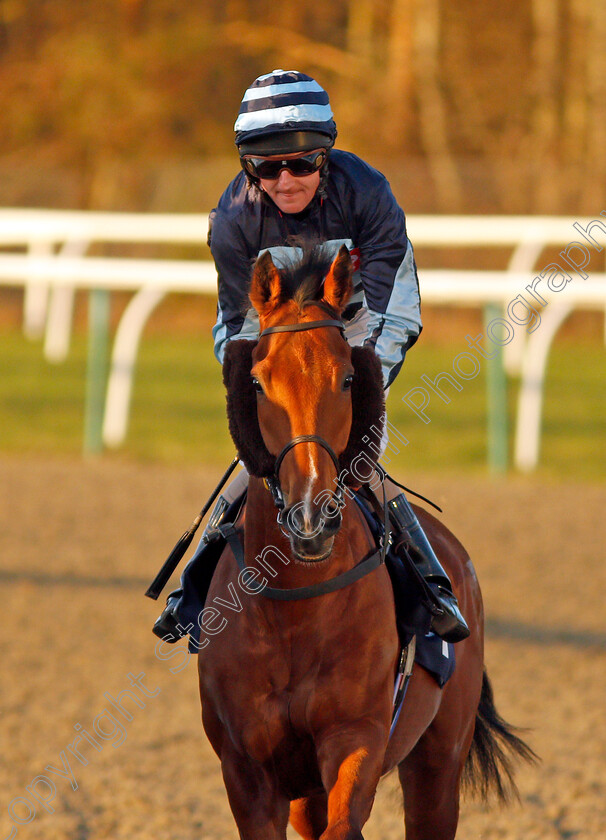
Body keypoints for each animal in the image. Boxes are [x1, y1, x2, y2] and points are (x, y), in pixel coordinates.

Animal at [197, 246, 536, 836]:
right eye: (258, 382)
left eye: (348, 378)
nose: (311, 515)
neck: (294, 607)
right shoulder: (247, 767)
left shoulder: (356, 737)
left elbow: (345, 821)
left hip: (438, 762)